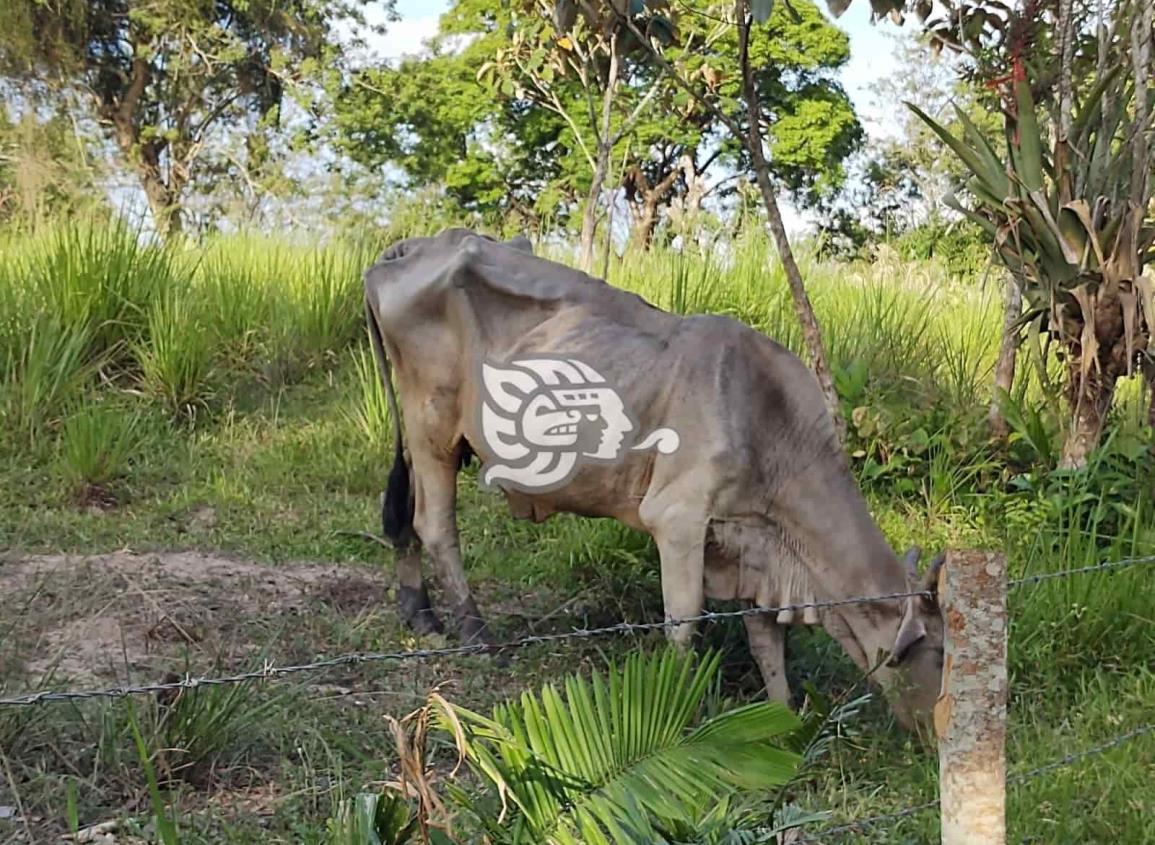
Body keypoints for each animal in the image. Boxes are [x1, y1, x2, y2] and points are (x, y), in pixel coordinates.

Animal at [364, 227, 942, 729]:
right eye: (936, 654)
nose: (934, 734)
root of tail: (410, 247)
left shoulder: (753, 544)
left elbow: (765, 637)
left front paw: (782, 713)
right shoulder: (678, 519)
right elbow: (684, 623)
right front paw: (676, 708)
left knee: (405, 520)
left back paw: (419, 614)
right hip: (433, 428)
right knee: (435, 524)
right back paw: (474, 631)